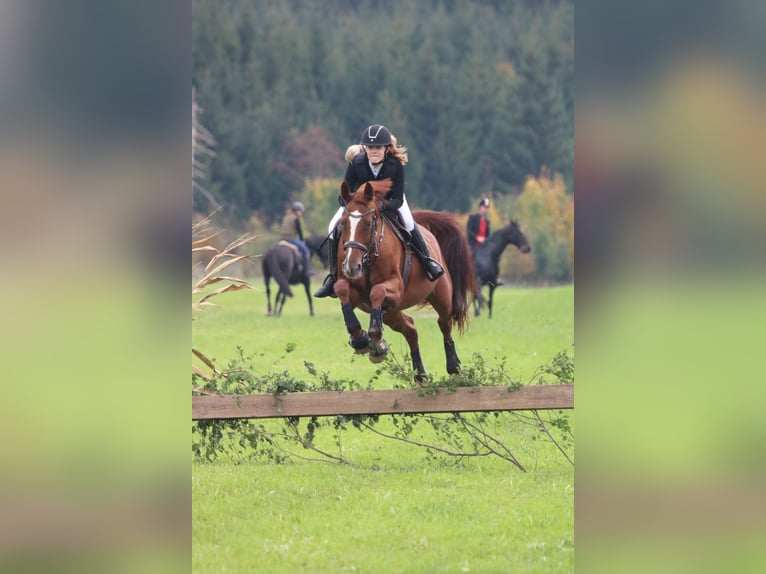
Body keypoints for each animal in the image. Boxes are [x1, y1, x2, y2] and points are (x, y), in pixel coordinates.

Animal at [332, 180, 476, 382]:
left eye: (368, 224)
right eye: (343, 223)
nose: (351, 267)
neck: (369, 256)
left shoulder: (396, 288)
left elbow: (376, 291)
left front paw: (373, 338)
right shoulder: (356, 293)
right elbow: (341, 288)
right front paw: (360, 339)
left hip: (441, 295)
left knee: (444, 322)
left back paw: (453, 366)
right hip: (391, 312)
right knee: (410, 328)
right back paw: (419, 374)